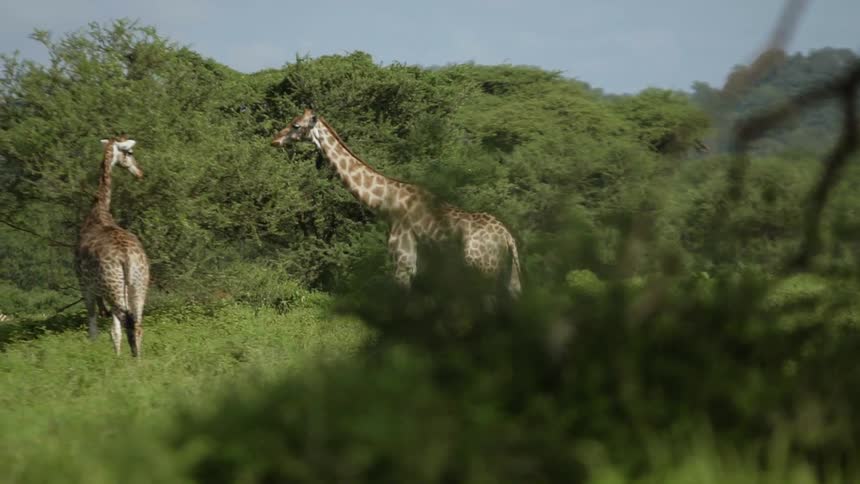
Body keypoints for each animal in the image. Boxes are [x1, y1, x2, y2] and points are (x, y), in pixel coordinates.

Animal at [75, 136, 150, 357]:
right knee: (137, 323)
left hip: (113, 286)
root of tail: (126, 256)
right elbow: (113, 331)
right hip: (137, 284)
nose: (139, 173)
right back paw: (138, 360)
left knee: (127, 323)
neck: (98, 212)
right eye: (130, 153)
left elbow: (95, 329)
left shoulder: (85, 285)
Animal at [271, 109, 522, 296]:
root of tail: (508, 238)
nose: (275, 140)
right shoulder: (419, 268)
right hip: (510, 277)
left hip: (483, 270)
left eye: (295, 125)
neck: (386, 205)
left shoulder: (403, 262)